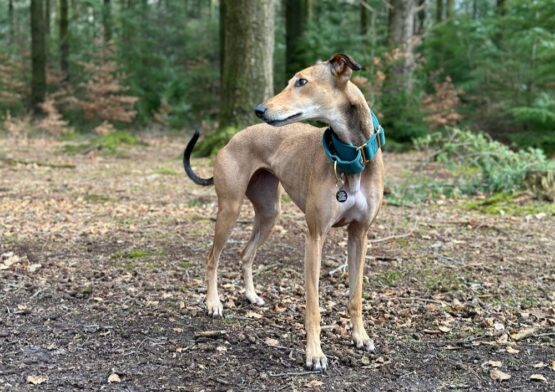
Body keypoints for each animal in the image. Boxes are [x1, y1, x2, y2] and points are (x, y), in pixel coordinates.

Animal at [185, 53, 384, 372]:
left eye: (302, 81)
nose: (260, 109)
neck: (350, 157)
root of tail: (232, 139)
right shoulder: (315, 236)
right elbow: (313, 305)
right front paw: (314, 354)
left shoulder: (359, 235)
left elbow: (355, 295)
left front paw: (360, 337)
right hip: (229, 209)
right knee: (211, 258)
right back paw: (213, 304)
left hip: (269, 213)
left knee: (246, 253)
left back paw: (251, 296)